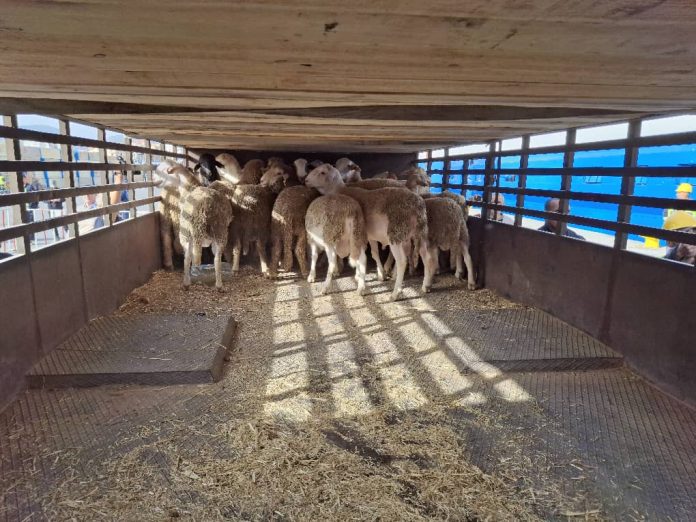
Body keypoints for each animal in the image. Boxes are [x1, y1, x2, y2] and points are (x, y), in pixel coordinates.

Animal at [304, 164, 434, 301]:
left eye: (322, 172)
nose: (306, 180)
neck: (339, 190)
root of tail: (418, 204)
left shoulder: (364, 235)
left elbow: (370, 255)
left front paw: (376, 275)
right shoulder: (367, 236)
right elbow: (372, 254)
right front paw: (364, 275)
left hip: (396, 233)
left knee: (402, 261)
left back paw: (395, 292)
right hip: (419, 232)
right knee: (426, 256)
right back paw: (426, 285)